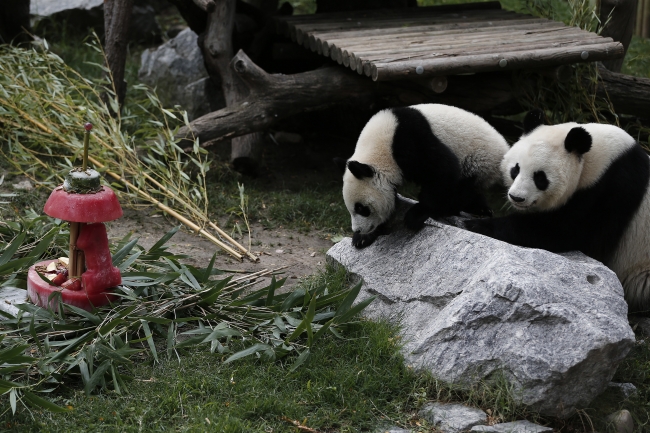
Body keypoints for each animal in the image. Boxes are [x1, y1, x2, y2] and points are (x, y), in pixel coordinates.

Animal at [338, 103, 510, 248]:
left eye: (362, 209)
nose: (358, 229)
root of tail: (505, 148)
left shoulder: (410, 141)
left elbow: (444, 169)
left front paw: (416, 215)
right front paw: (363, 238)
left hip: (478, 160)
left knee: (463, 188)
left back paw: (469, 210)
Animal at [465, 110, 650, 312]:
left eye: (540, 178)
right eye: (515, 169)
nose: (516, 197)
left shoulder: (612, 189)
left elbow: (569, 232)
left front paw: (477, 223)